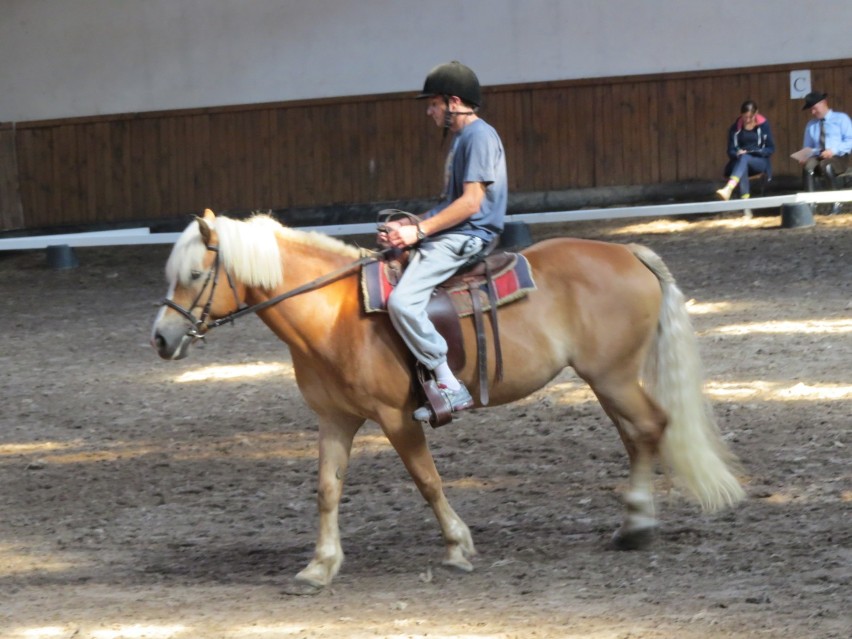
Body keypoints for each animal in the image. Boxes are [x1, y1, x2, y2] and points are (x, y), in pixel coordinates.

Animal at [151, 210, 744, 596]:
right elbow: (327, 490)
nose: (160, 338)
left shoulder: (396, 418)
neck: (335, 313)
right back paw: (634, 521)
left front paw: (458, 547)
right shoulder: (336, 420)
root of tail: (627, 251)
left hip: (613, 376)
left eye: (196, 275)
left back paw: (637, 525)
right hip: (608, 382)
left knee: (651, 427)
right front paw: (320, 567)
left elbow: (427, 480)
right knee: (638, 434)